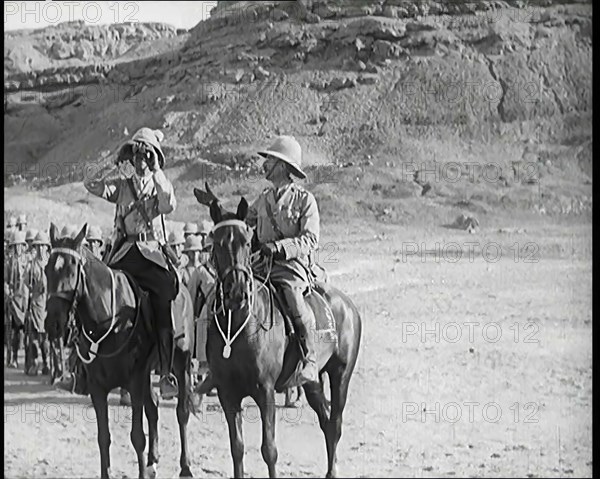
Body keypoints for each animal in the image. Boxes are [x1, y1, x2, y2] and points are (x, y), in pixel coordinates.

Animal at [47, 224, 197, 479]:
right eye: (47, 270)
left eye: (70, 270)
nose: (52, 324)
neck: (110, 318)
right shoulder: (97, 387)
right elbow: (103, 437)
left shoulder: (134, 381)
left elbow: (137, 437)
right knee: (154, 407)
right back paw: (153, 461)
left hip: (181, 362)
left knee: (182, 412)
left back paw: (185, 466)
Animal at [204, 197, 364, 478]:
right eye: (218, 242)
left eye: (247, 243)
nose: (237, 292)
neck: (240, 328)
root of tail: (348, 305)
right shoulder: (227, 393)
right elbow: (237, 447)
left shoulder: (265, 391)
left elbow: (269, 450)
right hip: (312, 383)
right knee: (326, 422)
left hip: (340, 375)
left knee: (335, 423)